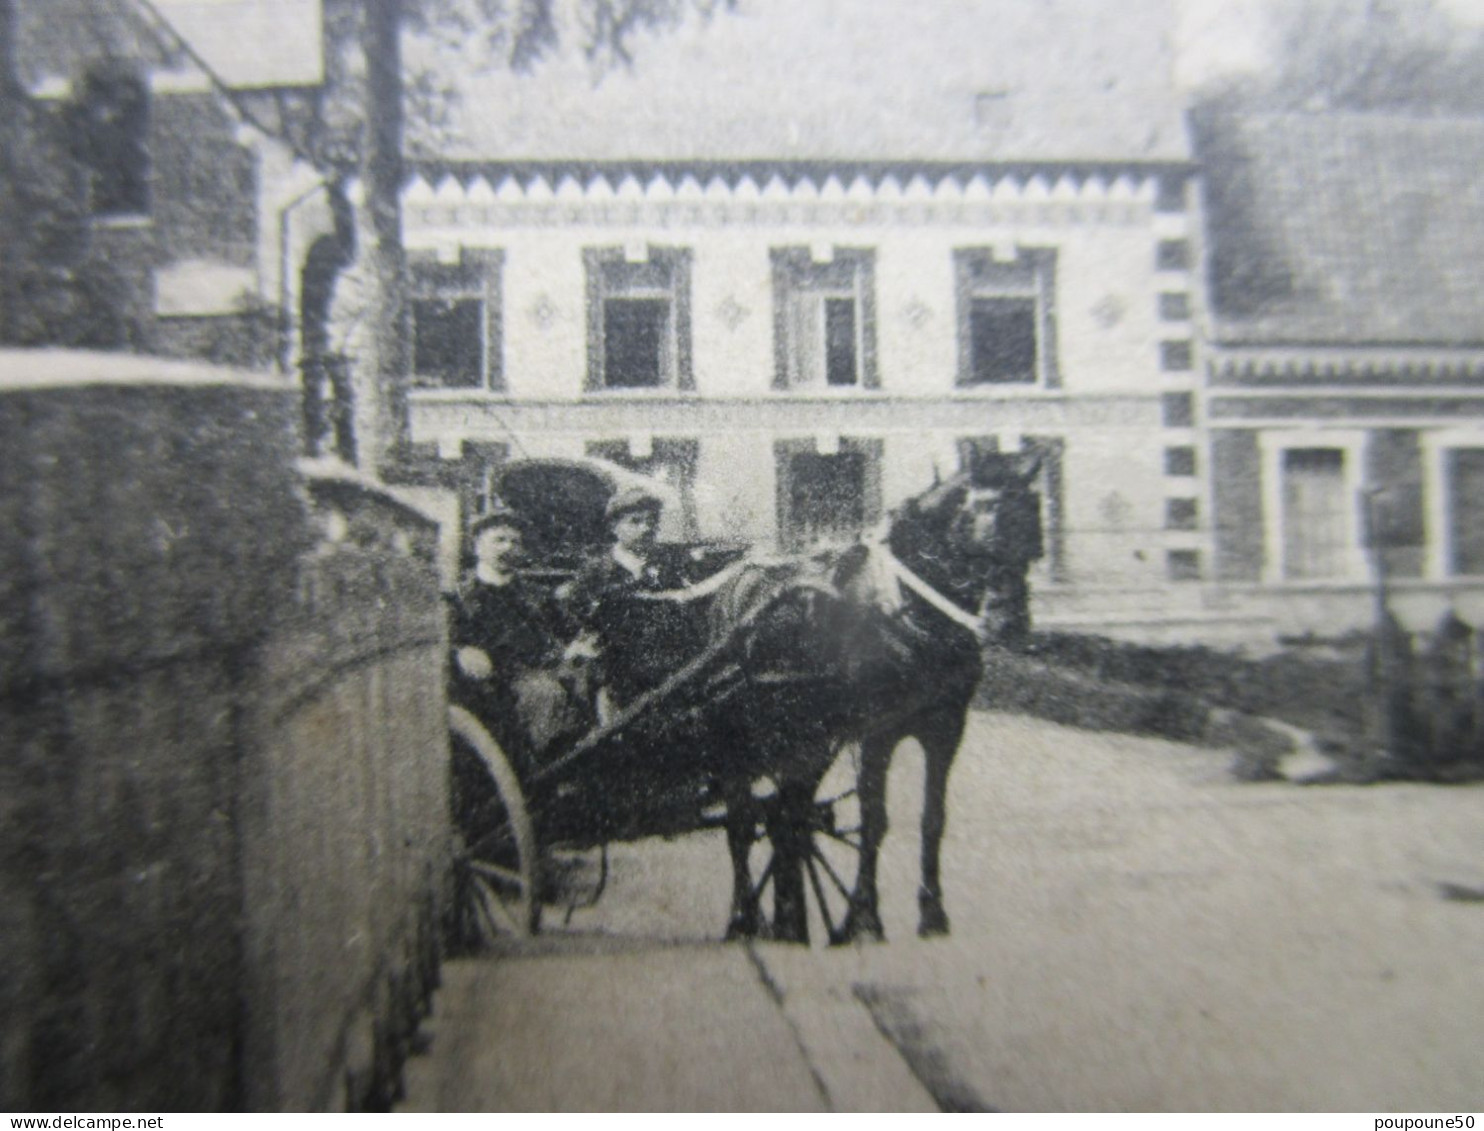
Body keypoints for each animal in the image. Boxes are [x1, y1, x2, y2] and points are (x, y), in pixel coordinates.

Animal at [715, 451, 1044, 943]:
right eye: (987, 514)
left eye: (1035, 520)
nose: (1012, 624)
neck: (908, 611)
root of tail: (738, 581)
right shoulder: (876, 735)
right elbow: (874, 821)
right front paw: (863, 916)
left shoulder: (946, 730)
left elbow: (933, 820)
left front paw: (932, 913)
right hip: (743, 737)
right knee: (740, 820)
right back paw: (744, 917)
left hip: (807, 738)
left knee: (787, 815)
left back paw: (789, 919)